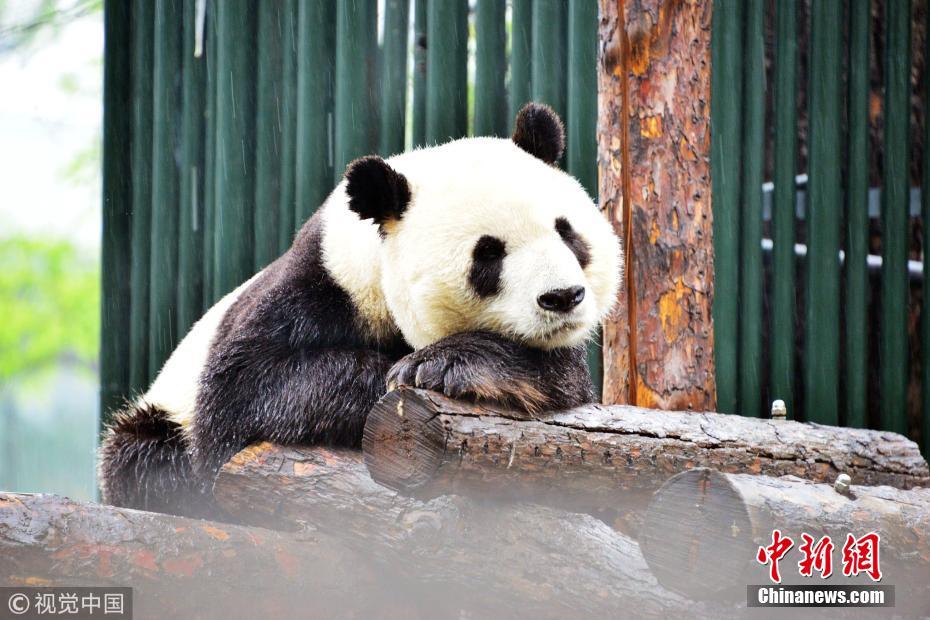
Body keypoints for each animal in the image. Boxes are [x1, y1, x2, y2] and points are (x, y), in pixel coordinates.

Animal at [98, 104, 620, 516]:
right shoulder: (309, 290)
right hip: (163, 409)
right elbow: (242, 395)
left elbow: (559, 379)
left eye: (566, 232)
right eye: (488, 255)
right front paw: (403, 371)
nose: (562, 297)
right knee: (142, 455)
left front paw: (446, 363)